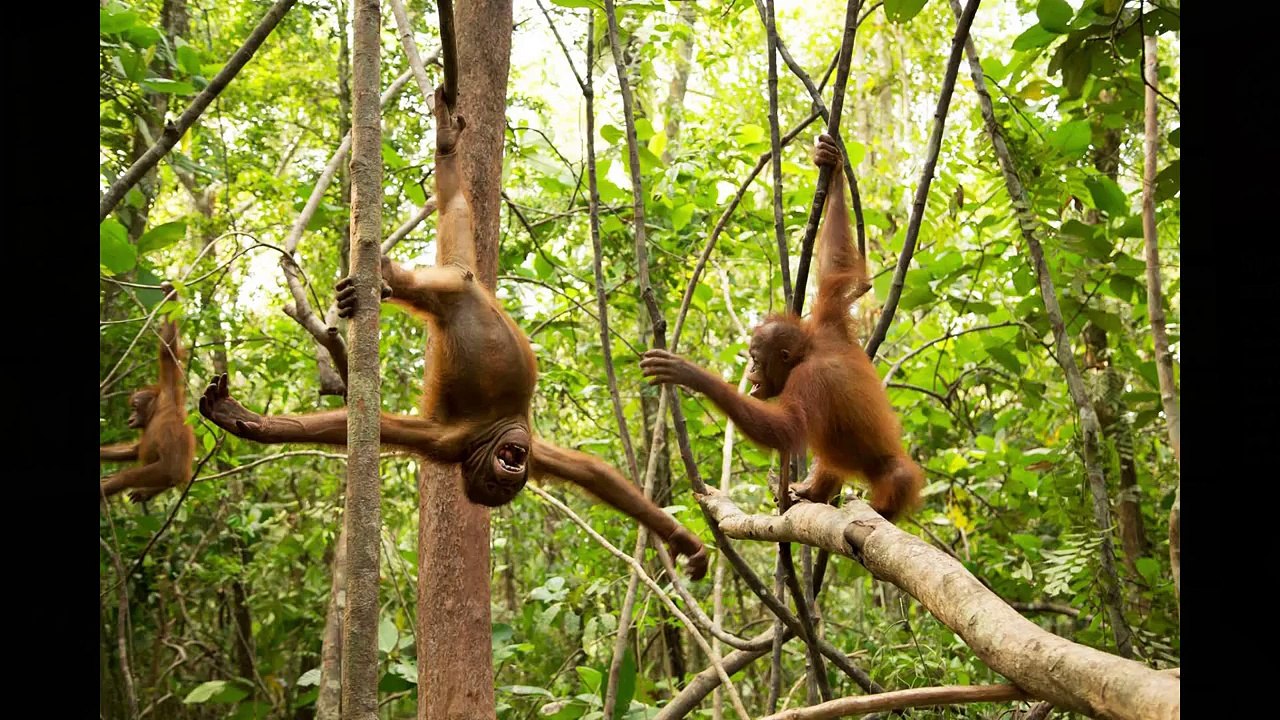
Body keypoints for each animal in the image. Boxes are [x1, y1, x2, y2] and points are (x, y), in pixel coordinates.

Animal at [101, 291, 196, 503]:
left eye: (135, 407)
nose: (130, 418)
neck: (156, 411)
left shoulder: (168, 404)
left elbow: (167, 353)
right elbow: (134, 450)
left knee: (164, 475)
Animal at [200, 86, 707, 579]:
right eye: (497, 480)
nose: (512, 467)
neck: (498, 428)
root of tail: (466, 281)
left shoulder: (539, 452)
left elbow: (600, 476)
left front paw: (686, 542)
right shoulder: (451, 443)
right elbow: (379, 428)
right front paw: (251, 423)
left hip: (461, 274)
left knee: (456, 211)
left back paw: (439, 162)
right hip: (448, 287)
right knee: (426, 281)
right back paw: (379, 276)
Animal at [640, 134, 924, 521]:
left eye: (757, 359)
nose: (751, 371)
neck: (809, 351)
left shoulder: (809, 380)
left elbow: (786, 428)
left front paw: (689, 374)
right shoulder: (828, 322)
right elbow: (836, 268)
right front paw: (831, 162)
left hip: (892, 476)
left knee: (892, 478)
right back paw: (812, 491)